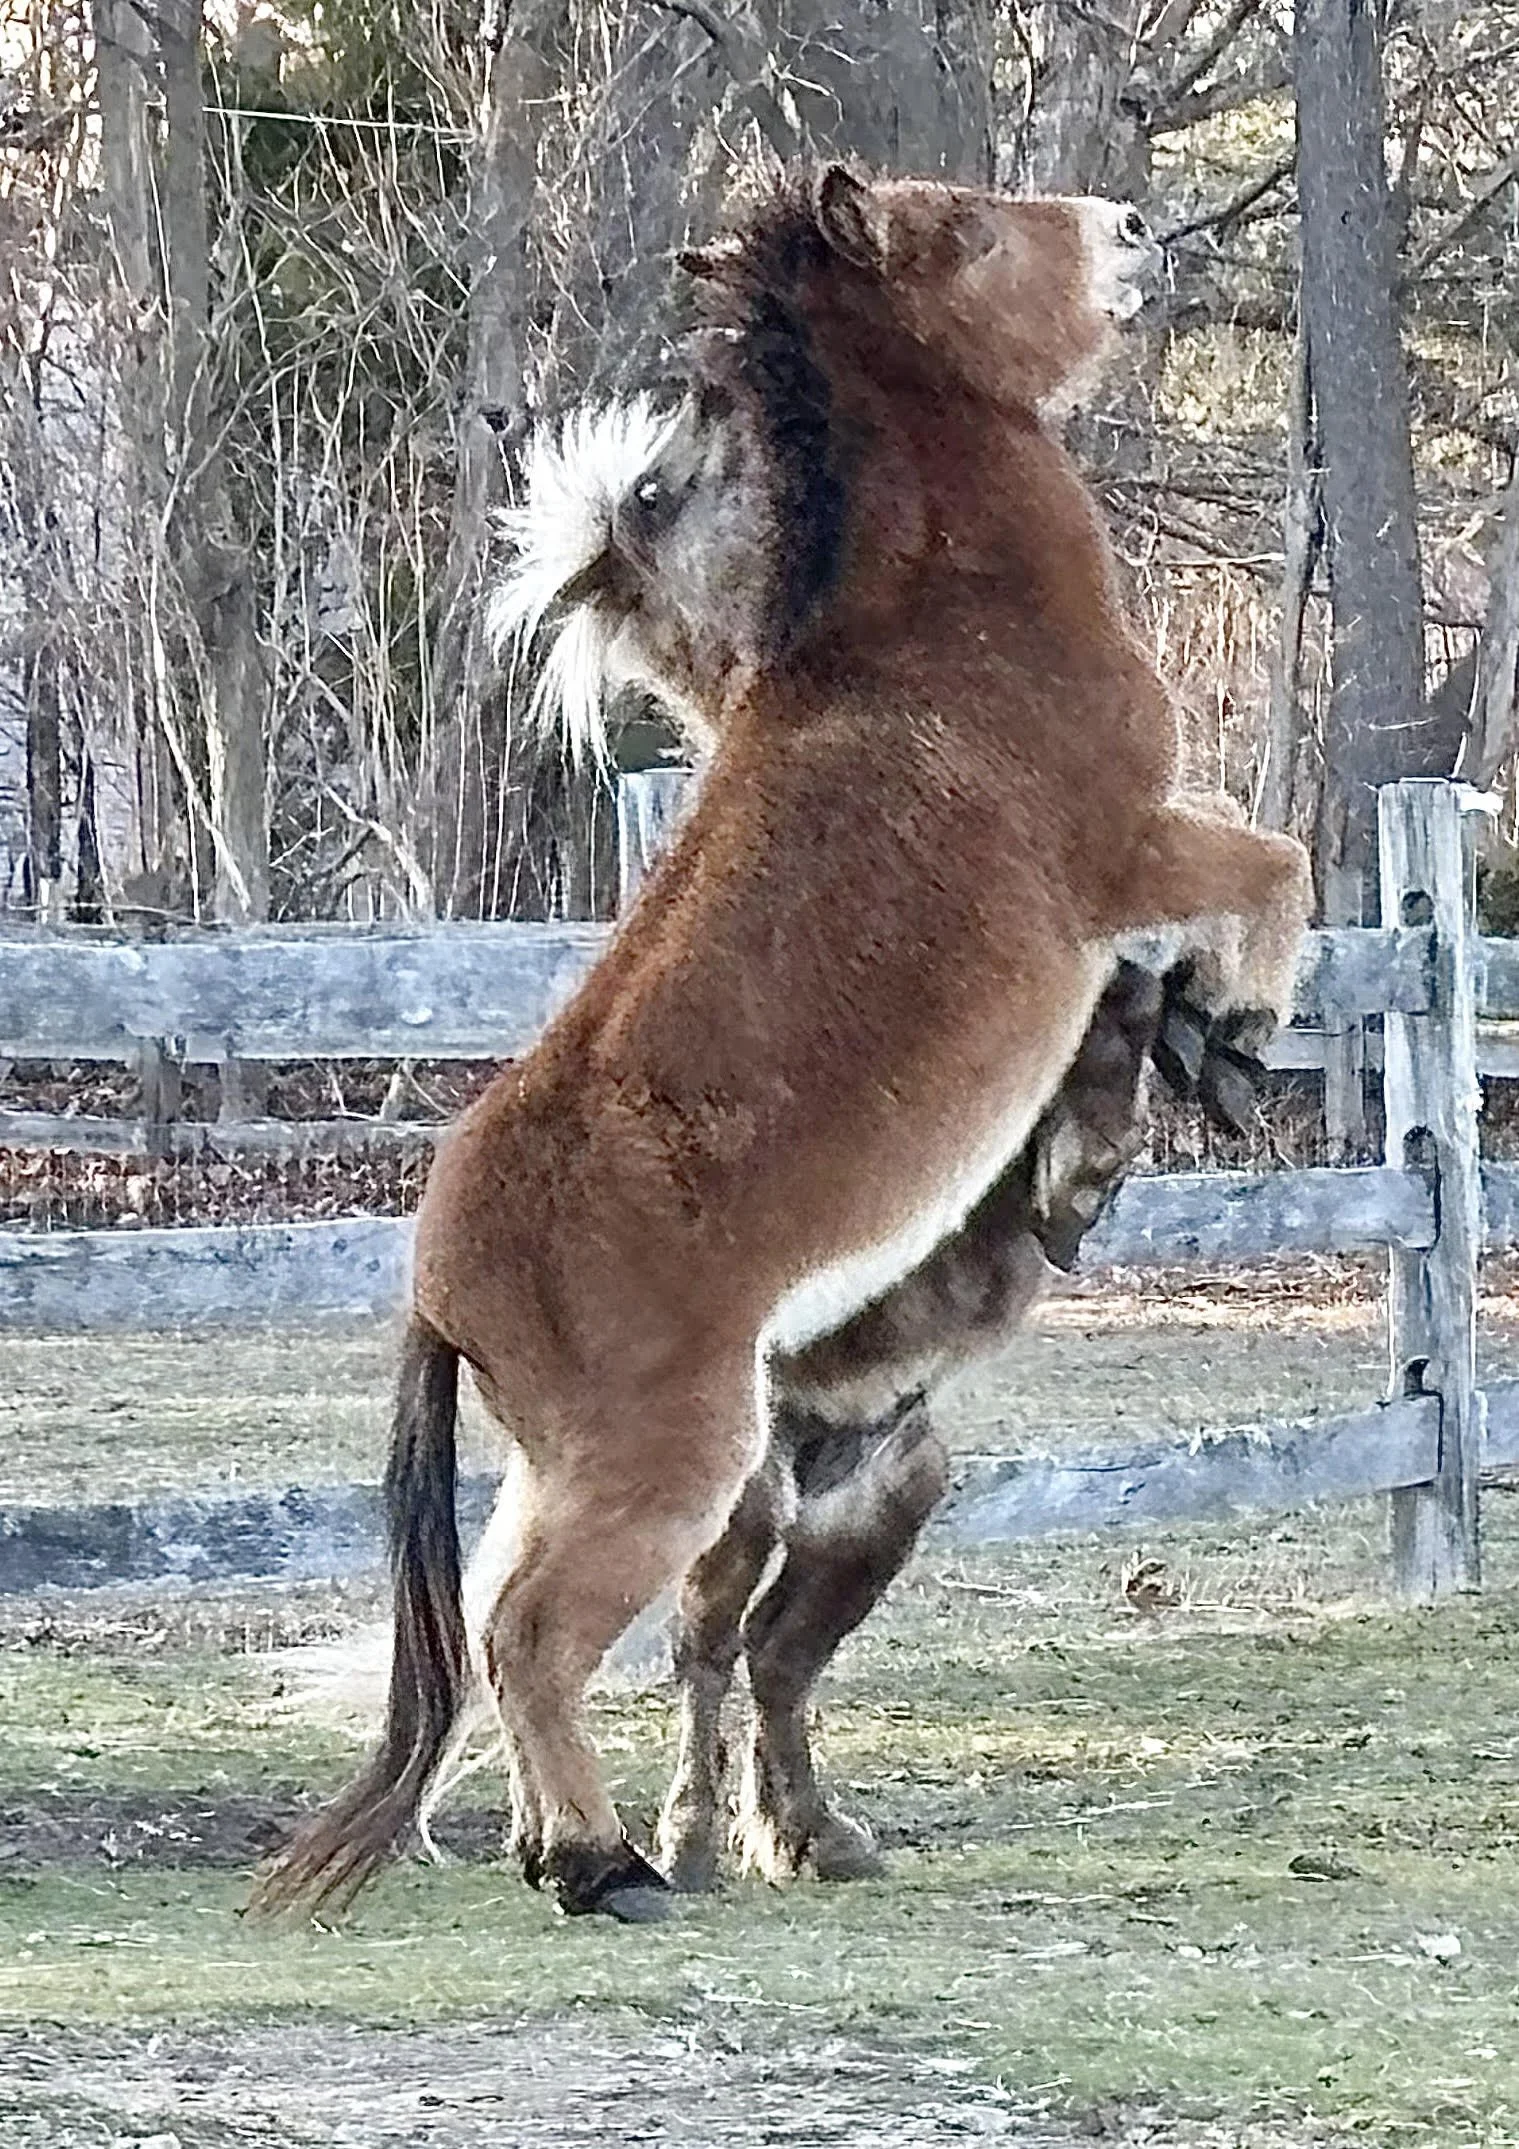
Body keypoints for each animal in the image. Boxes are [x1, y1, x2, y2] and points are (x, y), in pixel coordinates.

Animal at [253, 168, 1311, 1924]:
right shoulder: (1130, 853)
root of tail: (442, 1272)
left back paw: (569, 1843)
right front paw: (1237, 1029)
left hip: (581, 1472)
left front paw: (1178, 1068)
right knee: (539, 1634)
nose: (1134, 230)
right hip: (676, 1469)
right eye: (962, 230)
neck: (935, 628)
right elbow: (1277, 865)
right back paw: (604, 1865)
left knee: (507, 1619)